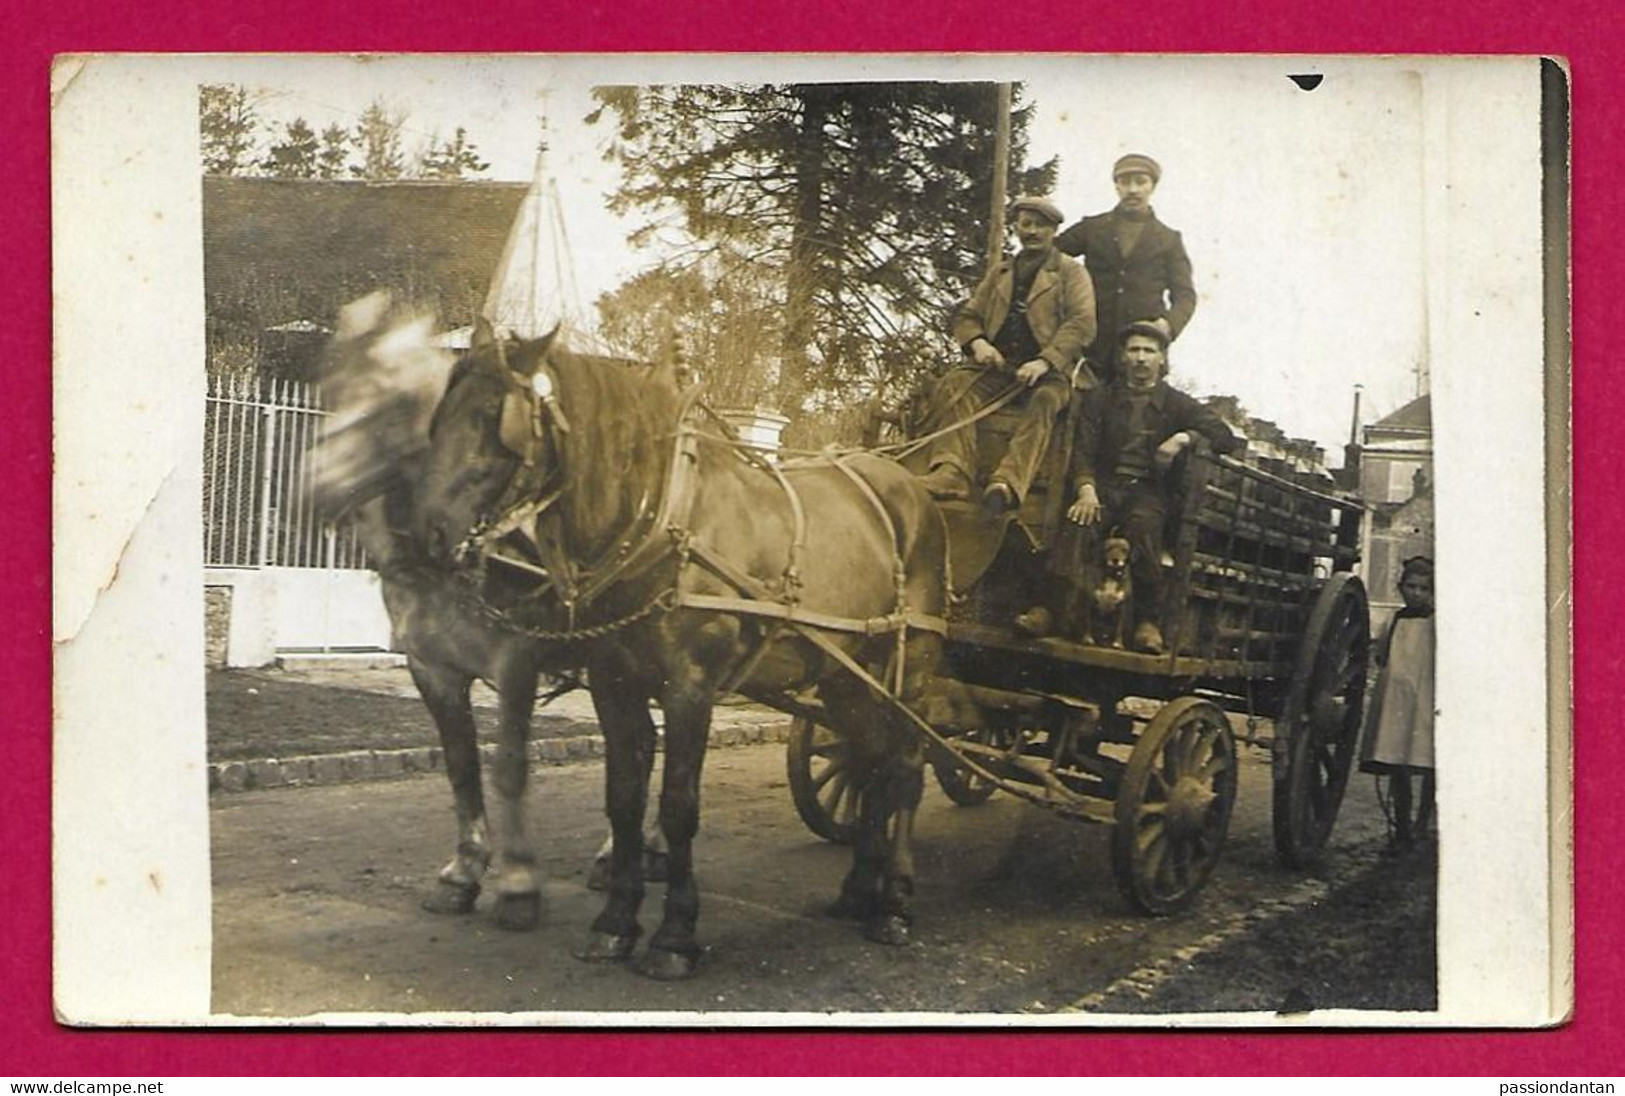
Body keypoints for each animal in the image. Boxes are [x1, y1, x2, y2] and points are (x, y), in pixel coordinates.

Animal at [412, 326, 949, 982]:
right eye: (441, 416)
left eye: (495, 418)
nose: (427, 533)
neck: (662, 519)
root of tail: (911, 486)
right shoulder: (613, 681)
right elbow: (622, 799)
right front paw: (614, 924)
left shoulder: (691, 686)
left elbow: (677, 806)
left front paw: (674, 936)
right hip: (846, 675)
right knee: (868, 758)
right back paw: (857, 890)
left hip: (911, 667)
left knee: (904, 768)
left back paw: (894, 902)